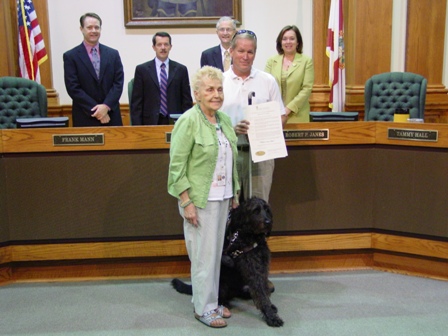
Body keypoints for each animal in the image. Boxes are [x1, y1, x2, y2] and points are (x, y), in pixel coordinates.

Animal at [172, 196, 284, 326]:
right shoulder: (253, 272)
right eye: (255, 211)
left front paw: (271, 307)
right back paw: (223, 304)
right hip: (221, 286)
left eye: (267, 210)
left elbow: (264, 291)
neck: (251, 237)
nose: (268, 222)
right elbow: (261, 294)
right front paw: (271, 317)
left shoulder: (263, 268)